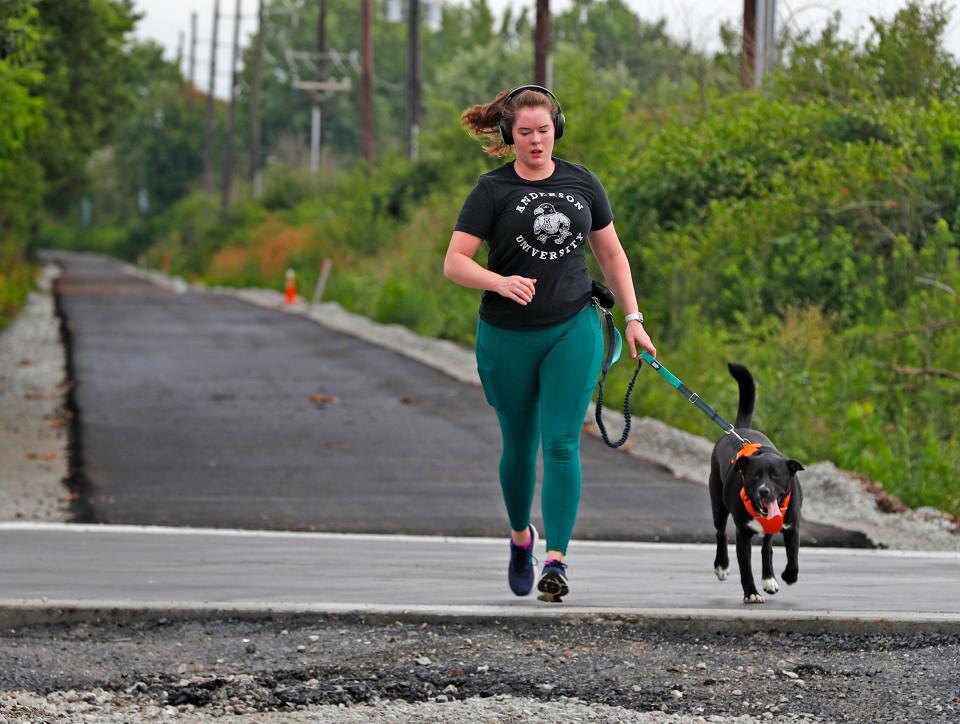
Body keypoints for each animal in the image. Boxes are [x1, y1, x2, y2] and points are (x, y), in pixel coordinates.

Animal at [708, 362, 808, 604]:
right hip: (718, 503)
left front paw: (788, 576)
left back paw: (769, 579)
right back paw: (722, 566)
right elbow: (745, 567)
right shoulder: (743, 534)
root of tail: (738, 430)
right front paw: (751, 593)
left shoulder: (793, 527)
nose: (764, 491)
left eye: (776, 476)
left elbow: (793, 558)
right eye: (754, 476)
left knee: (766, 548)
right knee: (720, 532)